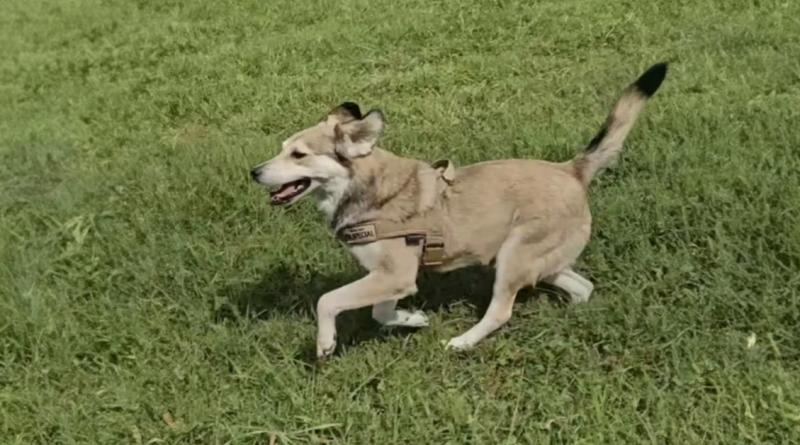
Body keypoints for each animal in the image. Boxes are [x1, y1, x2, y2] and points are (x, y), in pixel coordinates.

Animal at [250, 62, 668, 358]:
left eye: (298, 154)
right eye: (283, 148)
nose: (254, 172)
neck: (367, 186)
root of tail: (572, 169)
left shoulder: (394, 274)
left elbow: (328, 300)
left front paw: (325, 343)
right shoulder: (392, 277)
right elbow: (381, 313)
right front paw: (413, 319)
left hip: (514, 256)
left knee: (501, 311)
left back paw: (462, 342)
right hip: (541, 260)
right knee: (583, 286)